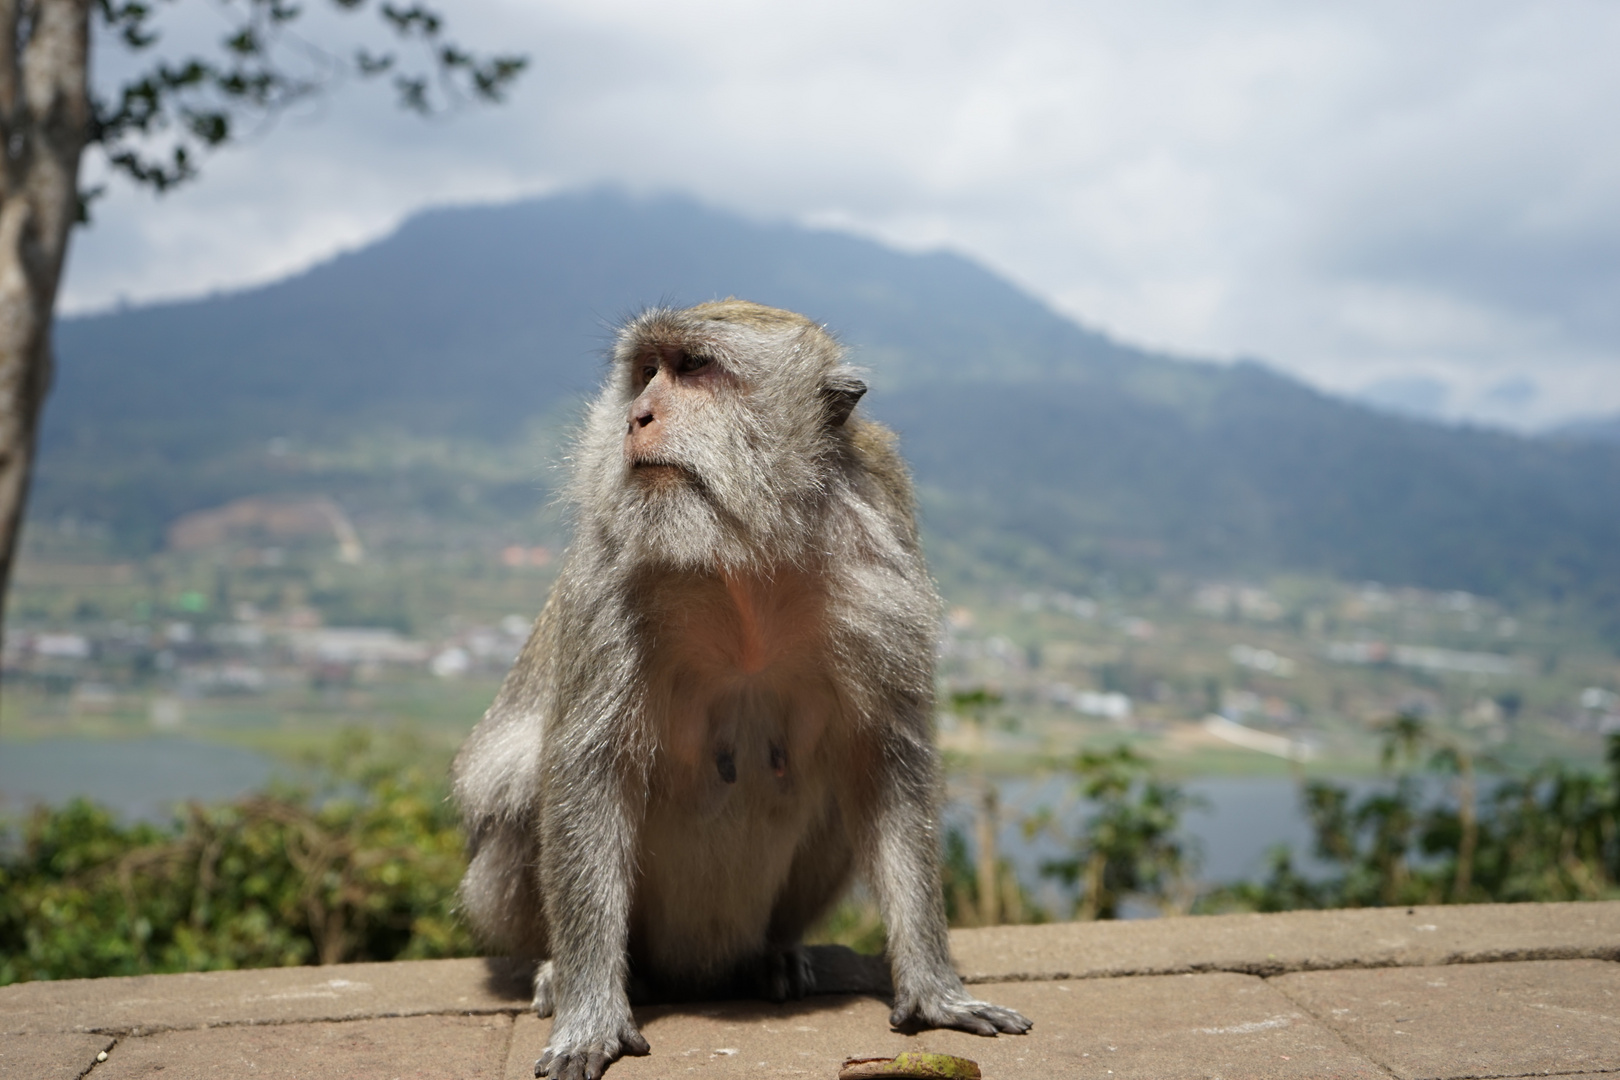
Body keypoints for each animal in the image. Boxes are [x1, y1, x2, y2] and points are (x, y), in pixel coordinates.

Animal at [453, 297, 1036, 1080]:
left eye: (695, 368)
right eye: (648, 371)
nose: (636, 416)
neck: (741, 552)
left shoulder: (882, 566)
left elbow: (887, 765)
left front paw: (935, 991)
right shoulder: (608, 580)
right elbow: (586, 772)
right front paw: (590, 1015)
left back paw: (772, 956)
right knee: (515, 782)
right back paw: (560, 968)